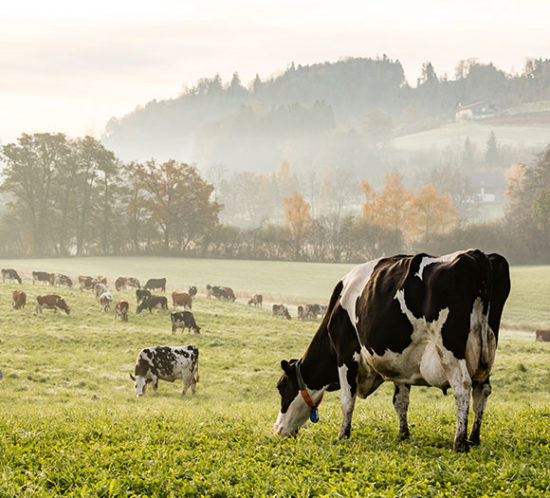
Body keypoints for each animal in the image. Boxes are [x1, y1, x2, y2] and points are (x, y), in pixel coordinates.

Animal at [276, 249, 512, 452]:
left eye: (281, 387)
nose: (278, 430)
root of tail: (475, 254)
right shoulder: (401, 362)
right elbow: (400, 401)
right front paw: (403, 434)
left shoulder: (345, 353)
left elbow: (347, 400)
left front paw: (343, 435)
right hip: (487, 350)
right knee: (482, 390)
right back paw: (474, 438)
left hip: (450, 349)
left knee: (462, 386)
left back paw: (460, 442)